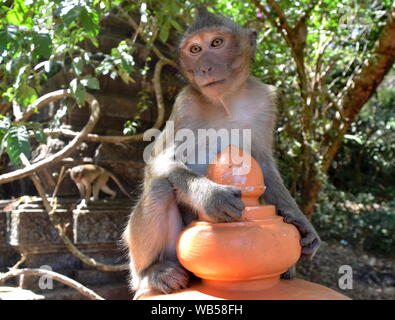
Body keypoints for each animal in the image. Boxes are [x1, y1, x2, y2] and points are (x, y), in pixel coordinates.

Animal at [124, 6, 322, 298]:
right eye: (195, 49)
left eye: (216, 43)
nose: (205, 67)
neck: (227, 101)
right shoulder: (185, 104)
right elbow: (159, 162)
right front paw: (212, 197)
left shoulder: (265, 102)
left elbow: (264, 163)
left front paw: (300, 220)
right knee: (160, 186)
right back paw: (151, 273)